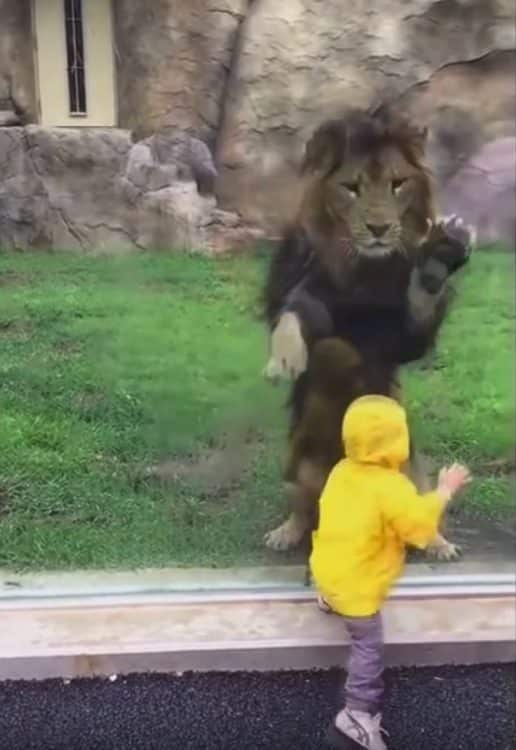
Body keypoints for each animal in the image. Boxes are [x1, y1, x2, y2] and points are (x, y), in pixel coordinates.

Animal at [264, 104, 474, 564]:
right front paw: (285, 356)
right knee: (304, 509)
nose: (378, 229)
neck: (365, 269)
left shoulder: (401, 336)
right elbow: (297, 313)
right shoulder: (308, 285)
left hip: (412, 467)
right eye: (351, 188)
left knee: (421, 510)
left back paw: (439, 543)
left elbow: (416, 311)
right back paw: (286, 532)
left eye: (397, 184)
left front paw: (438, 260)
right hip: (298, 464)